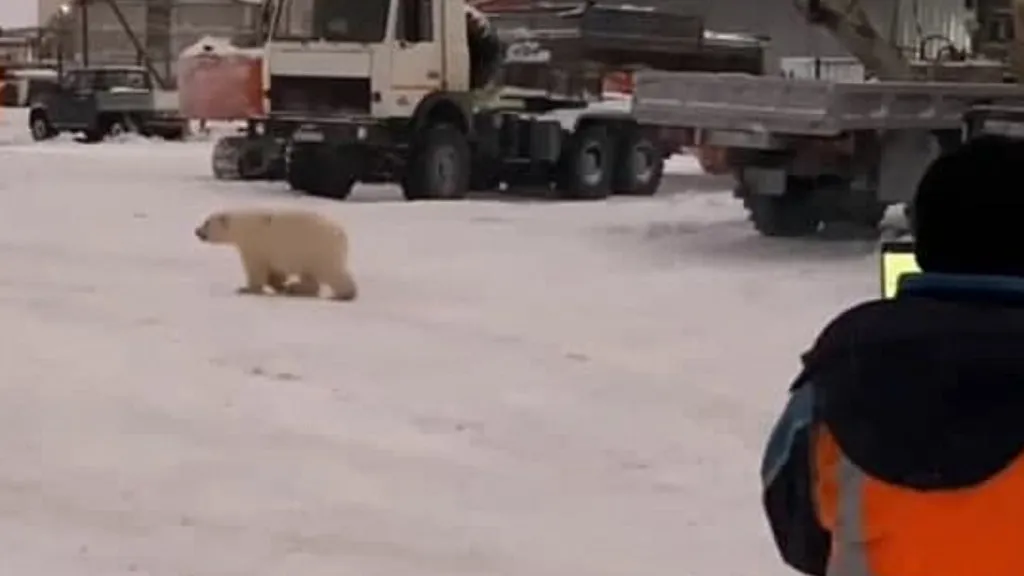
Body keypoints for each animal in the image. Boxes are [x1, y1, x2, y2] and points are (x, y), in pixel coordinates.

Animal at [194, 210, 356, 301]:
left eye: (206, 223)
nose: (197, 230)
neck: (244, 227)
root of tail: (341, 233)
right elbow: (275, 272)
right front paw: (281, 285)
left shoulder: (255, 246)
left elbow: (256, 270)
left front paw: (246, 289)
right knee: (310, 276)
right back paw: (294, 288)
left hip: (319, 250)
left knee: (332, 272)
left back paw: (345, 294)